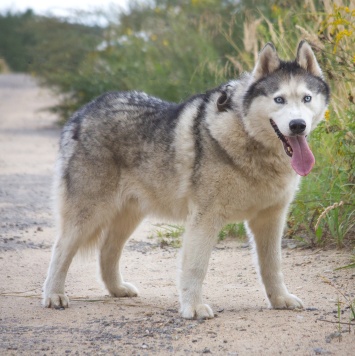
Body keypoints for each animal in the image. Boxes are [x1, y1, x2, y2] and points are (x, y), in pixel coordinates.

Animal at [43, 40, 330, 318]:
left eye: (306, 98)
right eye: (279, 99)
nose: (297, 125)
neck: (249, 140)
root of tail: (83, 111)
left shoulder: (270, 219)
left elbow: (273, 266)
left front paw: (280, 300)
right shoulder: (204, 219)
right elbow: (195, 268)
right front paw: (193, 308)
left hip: (129, 216)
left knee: (107, 251)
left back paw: (117, 289)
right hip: (88, 215)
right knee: (61, 250)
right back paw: (54, 295)